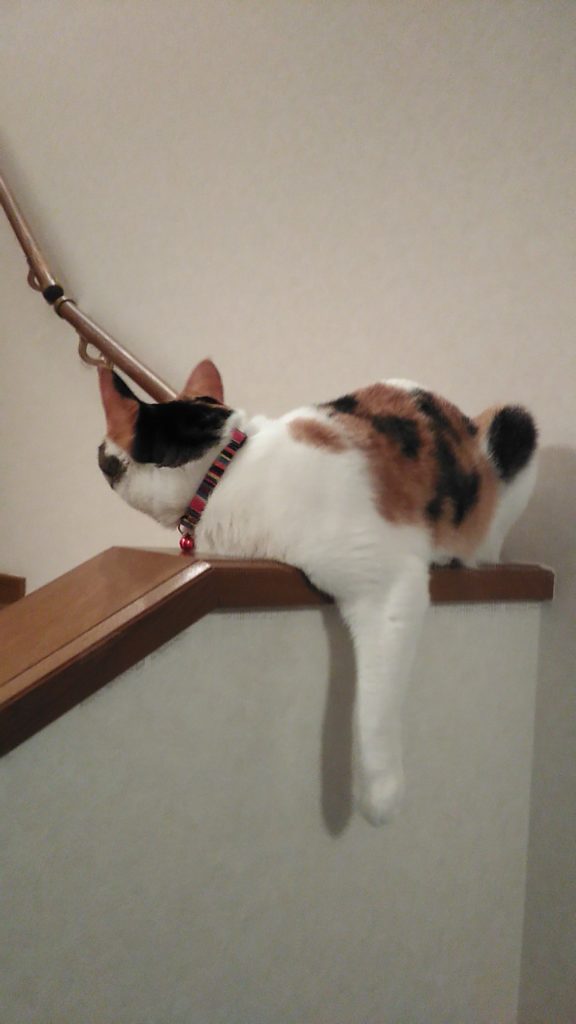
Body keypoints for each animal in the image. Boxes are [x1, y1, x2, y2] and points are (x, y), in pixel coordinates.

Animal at [97, 359, 537, 825]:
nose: (98, 453)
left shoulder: (387, 583)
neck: (228, 468)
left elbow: (375, 701)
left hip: (514, 426)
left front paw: (381, 797)